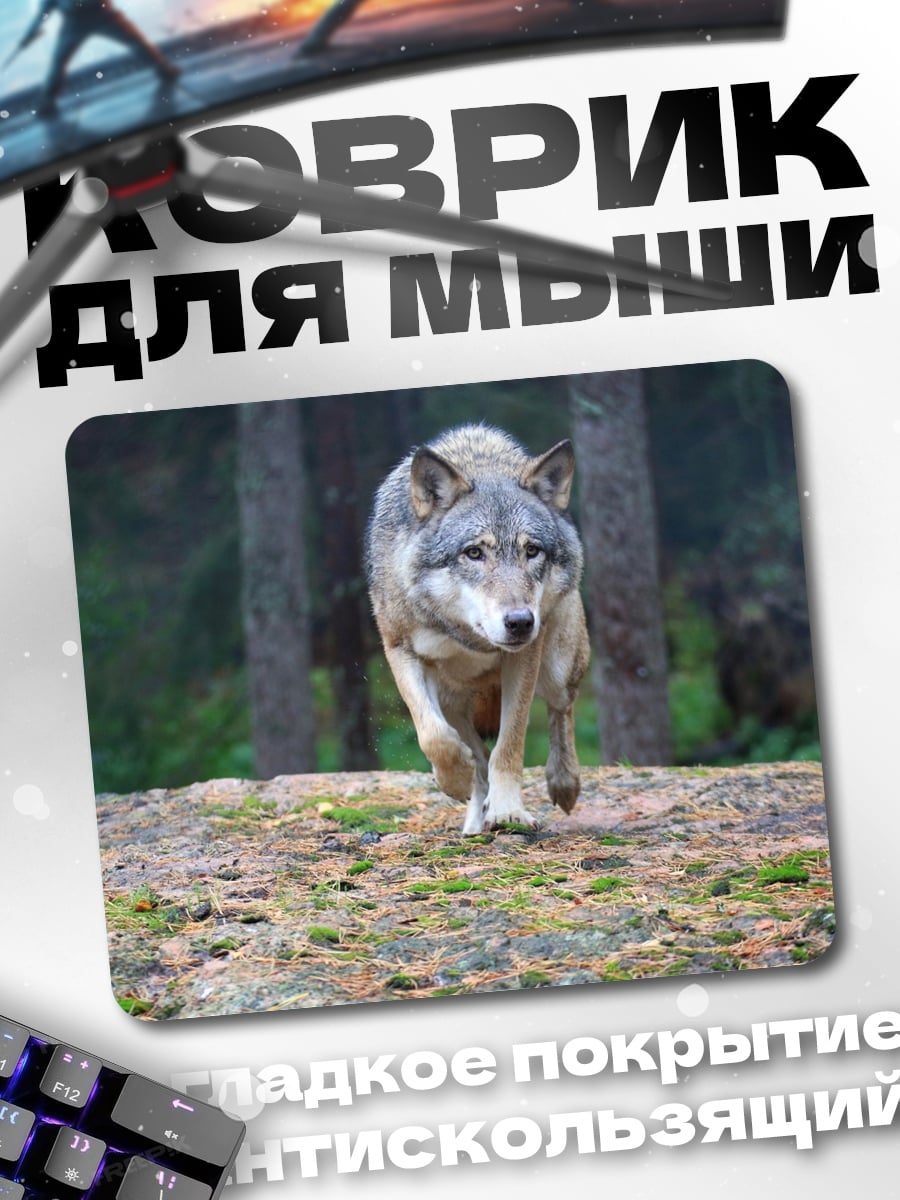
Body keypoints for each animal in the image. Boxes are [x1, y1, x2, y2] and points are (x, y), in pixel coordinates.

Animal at [366, 424, 590, 835]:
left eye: (531, 551)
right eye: (474, 553)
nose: (520, 622)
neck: (469, 637)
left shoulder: (525, 659)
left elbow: (509, 745)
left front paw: (508, 811)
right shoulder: (400, 651)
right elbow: (434, 737)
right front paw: (455, 780)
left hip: (557, 666)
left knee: (561, 709)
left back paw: (564, 783)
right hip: (452, 698)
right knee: (476, 753)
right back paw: (473, 822)